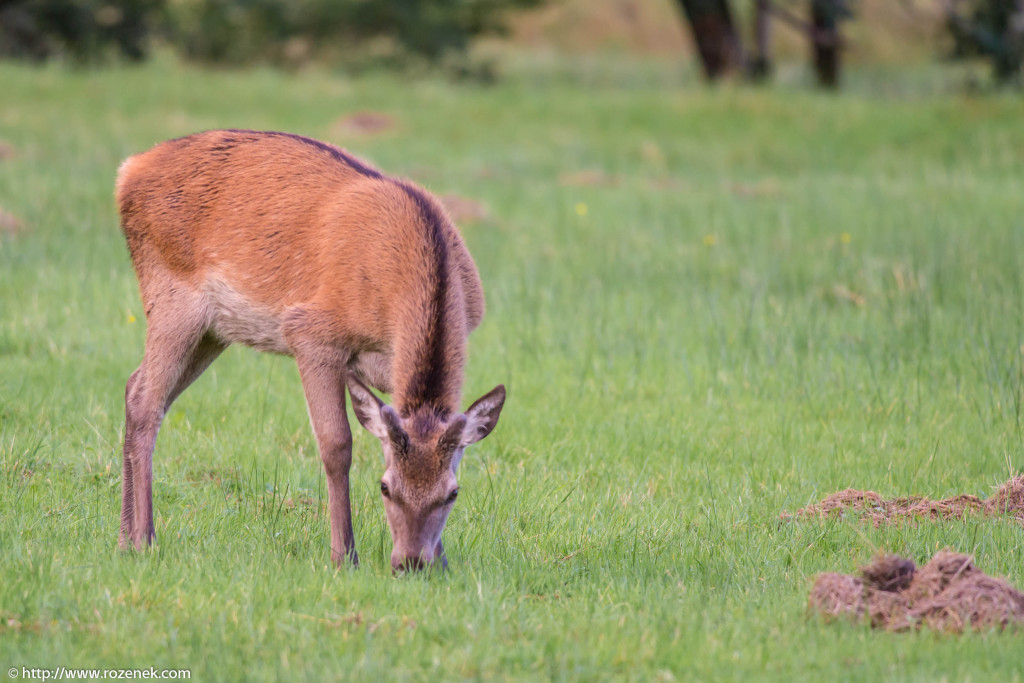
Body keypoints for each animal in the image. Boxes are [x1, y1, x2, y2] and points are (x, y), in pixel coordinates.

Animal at [114, 127, 505, 573]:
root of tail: (128, 171)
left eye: (452, 493)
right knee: (147, 402)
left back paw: (123, 540)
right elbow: (337, 445)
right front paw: (344, 556)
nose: (410, 563)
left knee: (135, 387)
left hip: (213, 331)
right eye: (385, 487)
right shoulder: (311, 334)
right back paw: (144, 539)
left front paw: (443, 562)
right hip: (171, 298)